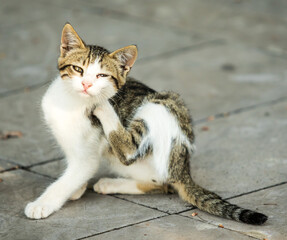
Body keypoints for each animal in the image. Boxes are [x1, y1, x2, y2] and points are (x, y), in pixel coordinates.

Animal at [24, 23, 268, 225]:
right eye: (78, 69)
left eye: (102, 75)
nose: (86, 85)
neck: (72, 103)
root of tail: (183, 168)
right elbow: (72, 171)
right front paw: (77, 188)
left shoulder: (88, 157)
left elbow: (73, 174)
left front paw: (43, 203)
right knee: (161, 182)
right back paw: (111, 184)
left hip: (162, 103)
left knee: (132, 152)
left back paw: (105, 110)